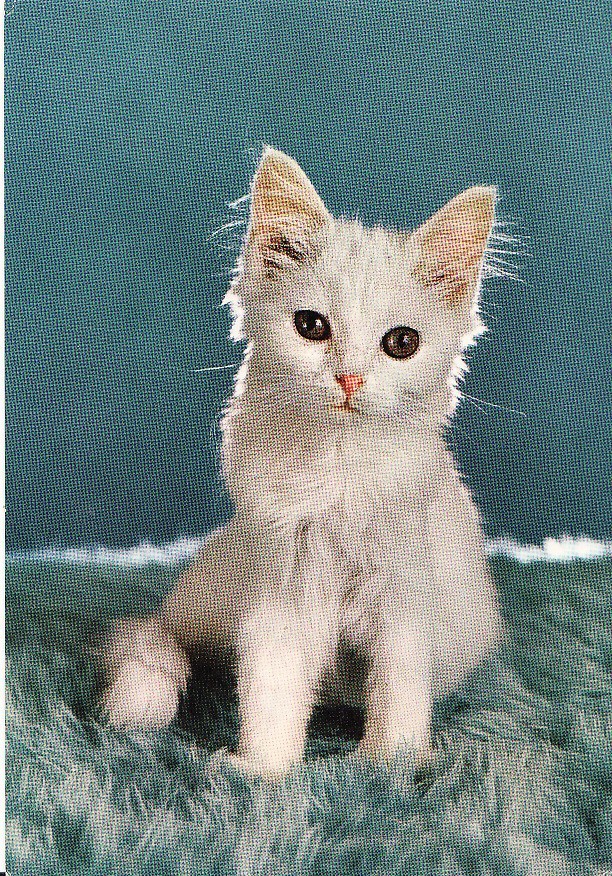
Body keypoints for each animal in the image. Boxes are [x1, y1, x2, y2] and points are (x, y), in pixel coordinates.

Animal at [101, 146, 503, 779]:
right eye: (311, 326)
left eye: (402, 342)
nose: (349, 378)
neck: (335, 467)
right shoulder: (279, 595)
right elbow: (274, 689)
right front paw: (264, 771)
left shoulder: (404, 602)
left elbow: (398, 690)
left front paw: (392, 766)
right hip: (210, 595)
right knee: (162, 638)